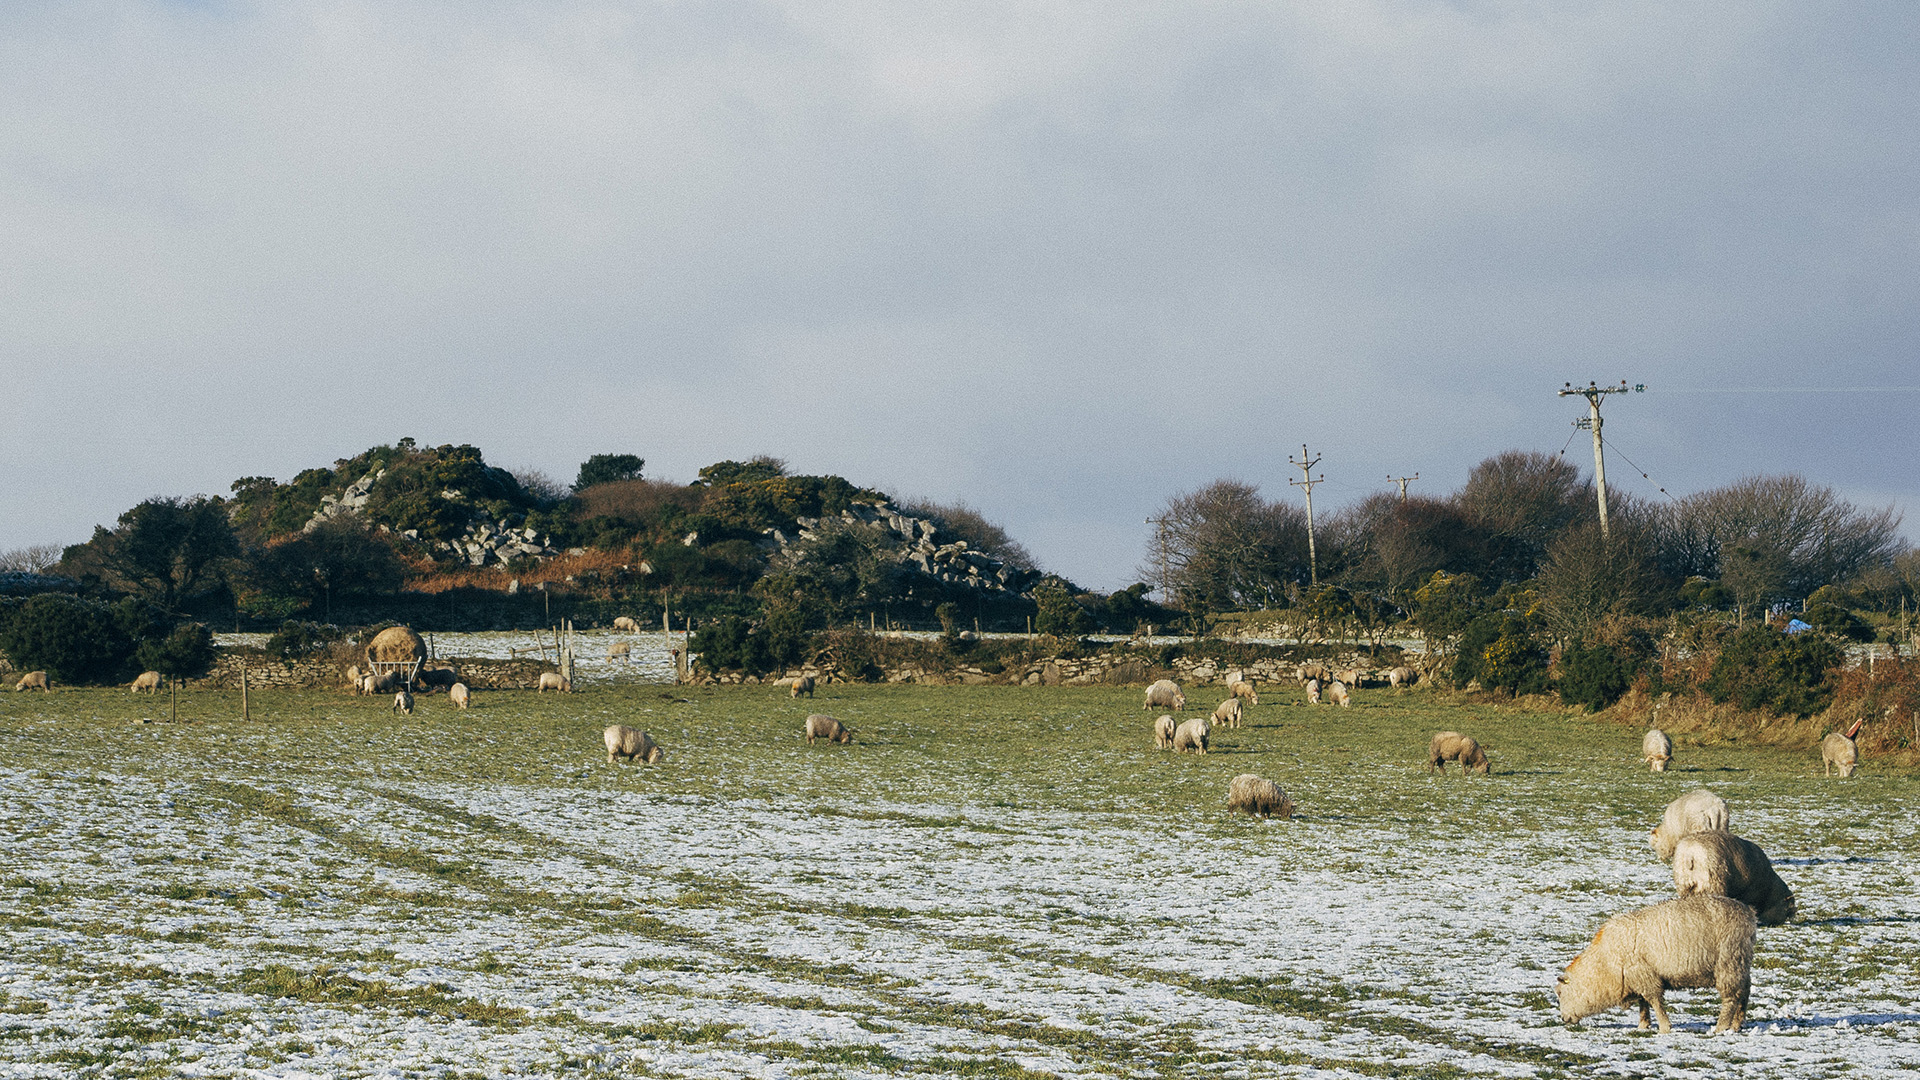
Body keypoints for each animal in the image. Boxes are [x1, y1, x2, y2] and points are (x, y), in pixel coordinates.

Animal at [1551, 887, 1758, 1030]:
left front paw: (1664, 1027)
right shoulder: (1638, 977)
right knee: (1745, 991)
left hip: (1728, 960)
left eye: (1560, 993)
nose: (1563, 1019)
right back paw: (1736, 1025)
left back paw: (1721, 1027)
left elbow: (1654, 1001)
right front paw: (1643, 1025)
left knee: (1731, 997)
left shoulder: (1644, 975)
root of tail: (1748, 913)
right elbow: (1643, 1003)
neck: (1604, 963)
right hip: (1740, 962)